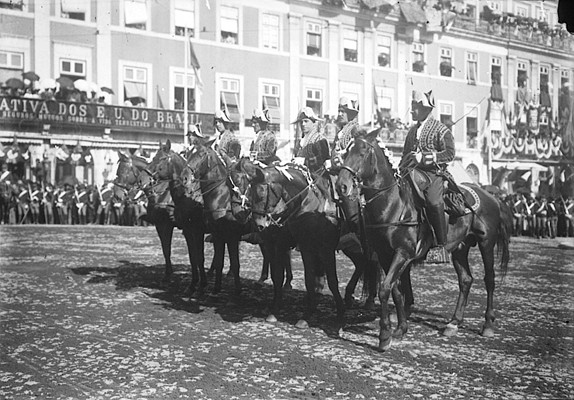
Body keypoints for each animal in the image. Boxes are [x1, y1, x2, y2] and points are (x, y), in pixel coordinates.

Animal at [249, 161, 376, 330]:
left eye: (261, 194)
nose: (258, 225)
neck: (311, 205)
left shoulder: (325, 249)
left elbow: (331, 281)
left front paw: (339, 313)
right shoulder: (302, 247)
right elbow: (303, 279)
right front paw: (303, 314)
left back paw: (369, 300)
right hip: (351, 246)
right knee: (362, 263)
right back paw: (350, 296)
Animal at [338, 130, 512, 352]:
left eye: (362, 152)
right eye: (345, 152)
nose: (342, 185)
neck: (393, 204)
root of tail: (493, 196)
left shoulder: (403, 253)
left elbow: (385, 289)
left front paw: (384, 335)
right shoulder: (386, 254)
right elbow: (396, 290)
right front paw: (400, 329)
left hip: (486, 243)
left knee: (489, 280)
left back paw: (488, 324)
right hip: (460, 248)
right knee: (465, 280)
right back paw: (454, 323)